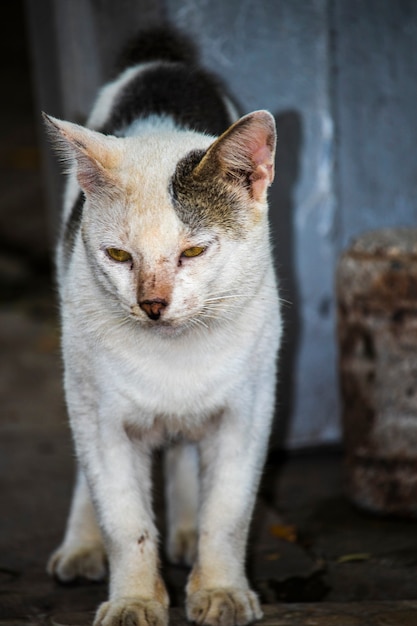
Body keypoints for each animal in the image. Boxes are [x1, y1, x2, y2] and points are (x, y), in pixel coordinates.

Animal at [44, 26, 282, 624]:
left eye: (193, 250)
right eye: (118, 256)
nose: (152, 304)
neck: (175, 355)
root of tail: (160, 60)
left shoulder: (248, 410)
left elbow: (228, 513)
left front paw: (220, 589)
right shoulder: (100, 418)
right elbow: (124, 521)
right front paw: (133, 599)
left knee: (181, 448)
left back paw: (186, 531)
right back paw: (82, 545)